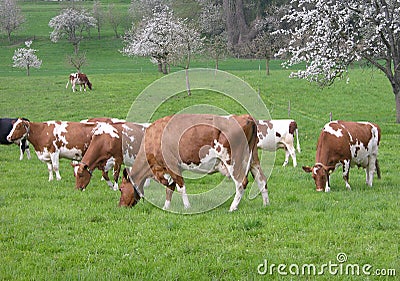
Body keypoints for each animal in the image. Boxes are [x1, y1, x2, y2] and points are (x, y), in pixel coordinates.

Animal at [117, 112, 270, 211]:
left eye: (121, 188)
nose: (120, 206)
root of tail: (244, 117)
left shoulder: (172, 165)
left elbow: (180, 187)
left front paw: (187, 207)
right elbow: (170, 188)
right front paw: (166, 207)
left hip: (232, 160)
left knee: (241, 182)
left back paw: (233, 208)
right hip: (253, 159)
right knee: (261, 180)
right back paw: (265, 204)